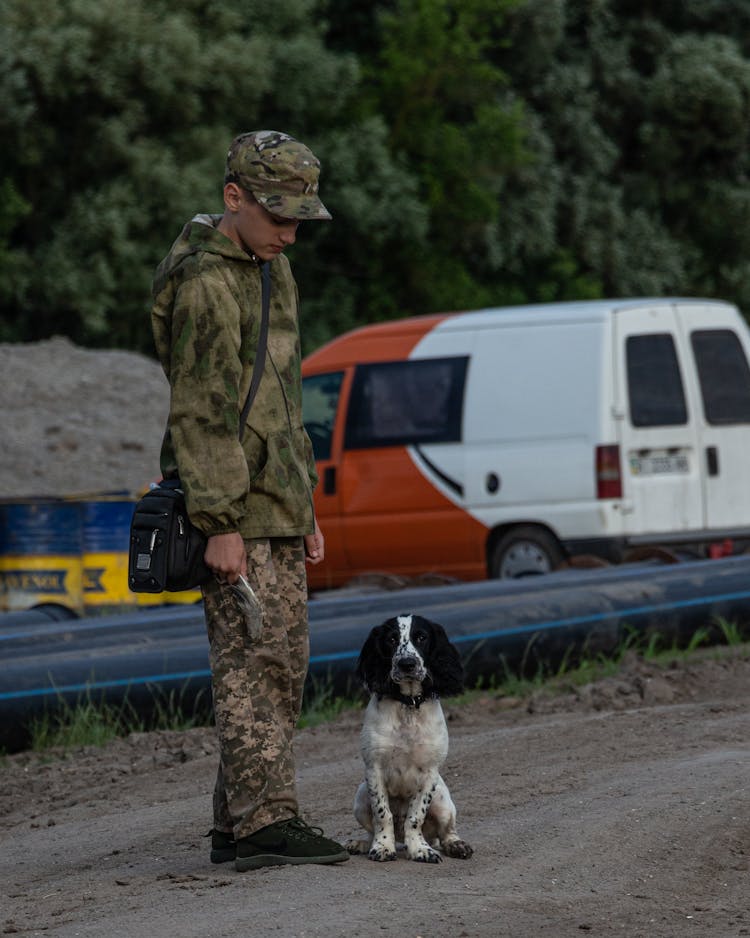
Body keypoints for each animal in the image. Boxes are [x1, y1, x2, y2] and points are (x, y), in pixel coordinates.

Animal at [348, 616, 476, 864]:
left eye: (421, 637)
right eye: (391, 639)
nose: (407, 663)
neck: (408, 705)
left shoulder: (429, 772)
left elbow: (415, 816)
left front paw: (420, 849)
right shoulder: (374, 768)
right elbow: (383, 814)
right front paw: (382, 847)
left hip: (443, 801)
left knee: (446, 833)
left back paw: (457, 845)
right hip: (360, 796)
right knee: (371, 829)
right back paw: (362, 844)